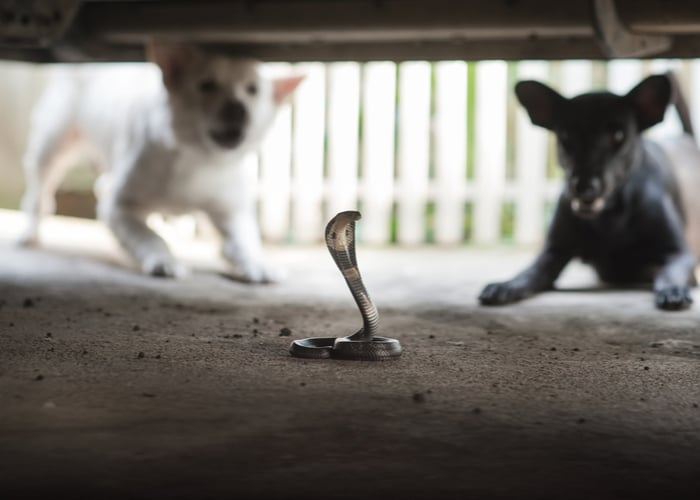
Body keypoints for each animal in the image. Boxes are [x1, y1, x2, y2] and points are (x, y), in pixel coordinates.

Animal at [19, 41, 302, 284]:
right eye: (206, 85)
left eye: (253, 89)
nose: (239, 108)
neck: (198, 158)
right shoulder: (119, 208)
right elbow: (149, 237)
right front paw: (163, 260)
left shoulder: (231, 211)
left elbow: (244, 242)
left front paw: (257, 263)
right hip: (52, 145)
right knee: (39, 194)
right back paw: (29, 232)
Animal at [478, 73, 700, 310]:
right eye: (565, 137)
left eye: (618, 135)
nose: (583, 187)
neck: (609, 217)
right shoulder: (553, 252)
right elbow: (529, 272)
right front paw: (506, 285)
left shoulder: (679, 253)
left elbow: (669, 273)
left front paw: (672, 289)